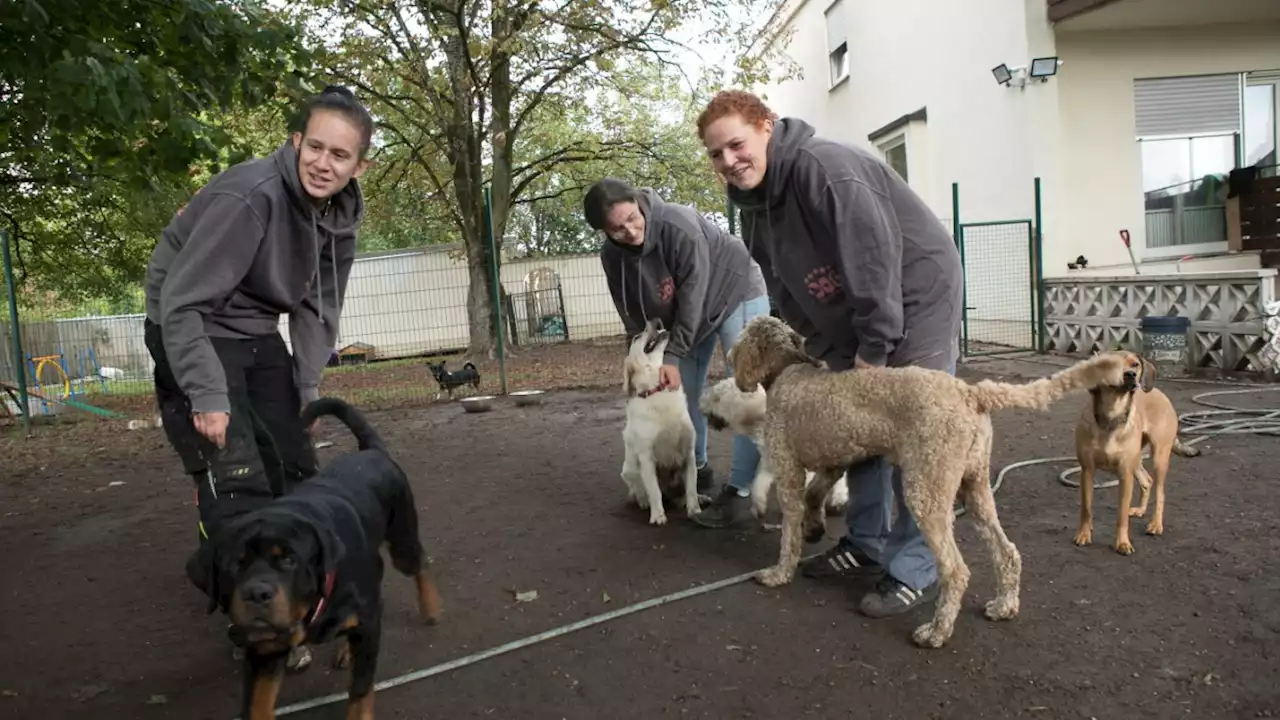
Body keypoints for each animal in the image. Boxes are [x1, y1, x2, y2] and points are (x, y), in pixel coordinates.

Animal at [619, 319, 701, 520]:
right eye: (637, 337)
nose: (655, 320)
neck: (656, 389)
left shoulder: (688, 453)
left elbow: (692, 489)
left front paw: (695, 511)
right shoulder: (646, 457)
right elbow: (654, 491)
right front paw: (657, 516)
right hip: (629, 470)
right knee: (639, 490)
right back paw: (644, 503)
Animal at [696, 376, 844, 520]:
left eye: (717, 397)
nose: (700, 400)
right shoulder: (769, 461)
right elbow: (759, 483)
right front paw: (759, 506)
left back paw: (838, 500)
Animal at [727, 316, 1136, 648]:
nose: (729, 358)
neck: (788, 369)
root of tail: (971, 392)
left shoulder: (788, 469)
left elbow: (789, 530)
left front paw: (779, 572)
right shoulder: (835, 461)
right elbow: (815, 495)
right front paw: (814, 529)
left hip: (926, 489)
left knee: (956, 571)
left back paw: (936, 632)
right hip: (975, 487)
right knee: (1007, 552)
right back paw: (1004, 605)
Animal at [1070, 351, 1198, 550]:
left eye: (1135, 364)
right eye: (1111, 364)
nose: (1130, 374)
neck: (1111, 416)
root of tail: (1160, 393)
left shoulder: (1125, 474)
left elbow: (1121, 515)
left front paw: (1123, 543)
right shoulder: (1087, 471)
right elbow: (1086, 508)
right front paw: (1084, 534)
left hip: (1159, 458)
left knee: (1160, 492)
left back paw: (1155, 524)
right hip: (1136, 460)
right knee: (1147, 481)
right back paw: (1140, 510)